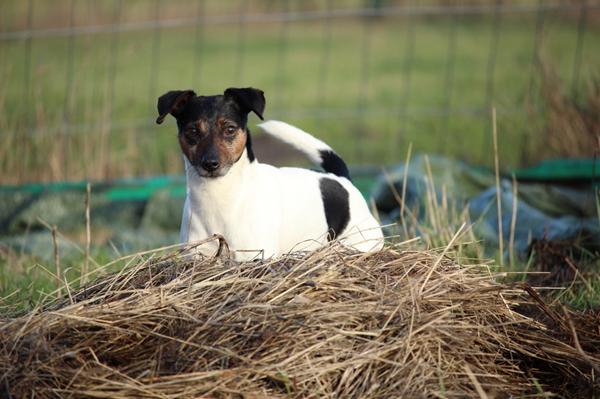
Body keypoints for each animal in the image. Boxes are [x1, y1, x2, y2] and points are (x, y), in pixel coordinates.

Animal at [157, 87, 384, 260]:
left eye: (230, 129)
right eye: (192, 131)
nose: (210, 164)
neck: (220, 197)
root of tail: (341, 179)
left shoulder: (254, 255)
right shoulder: (198, 257)